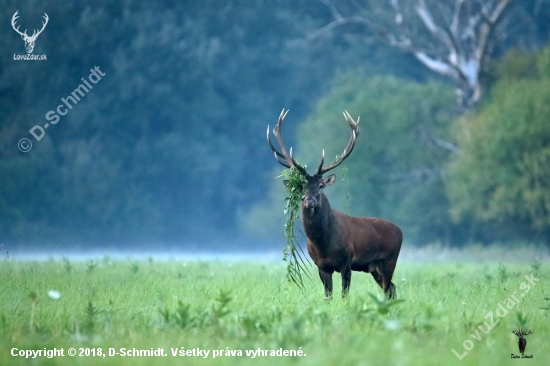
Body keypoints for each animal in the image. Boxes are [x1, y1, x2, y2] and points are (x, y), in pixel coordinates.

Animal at [268, 109, 404, 300]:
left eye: (321, 185)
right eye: (302, 187)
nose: (309, 201)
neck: (323, 245)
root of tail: (400, 230)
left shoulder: (346, 261)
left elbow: (344, 294)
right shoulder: (321, 266)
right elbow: (328, 295)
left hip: (389, 260)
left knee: (388, 288)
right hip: (373, 267)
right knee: (392, 288)